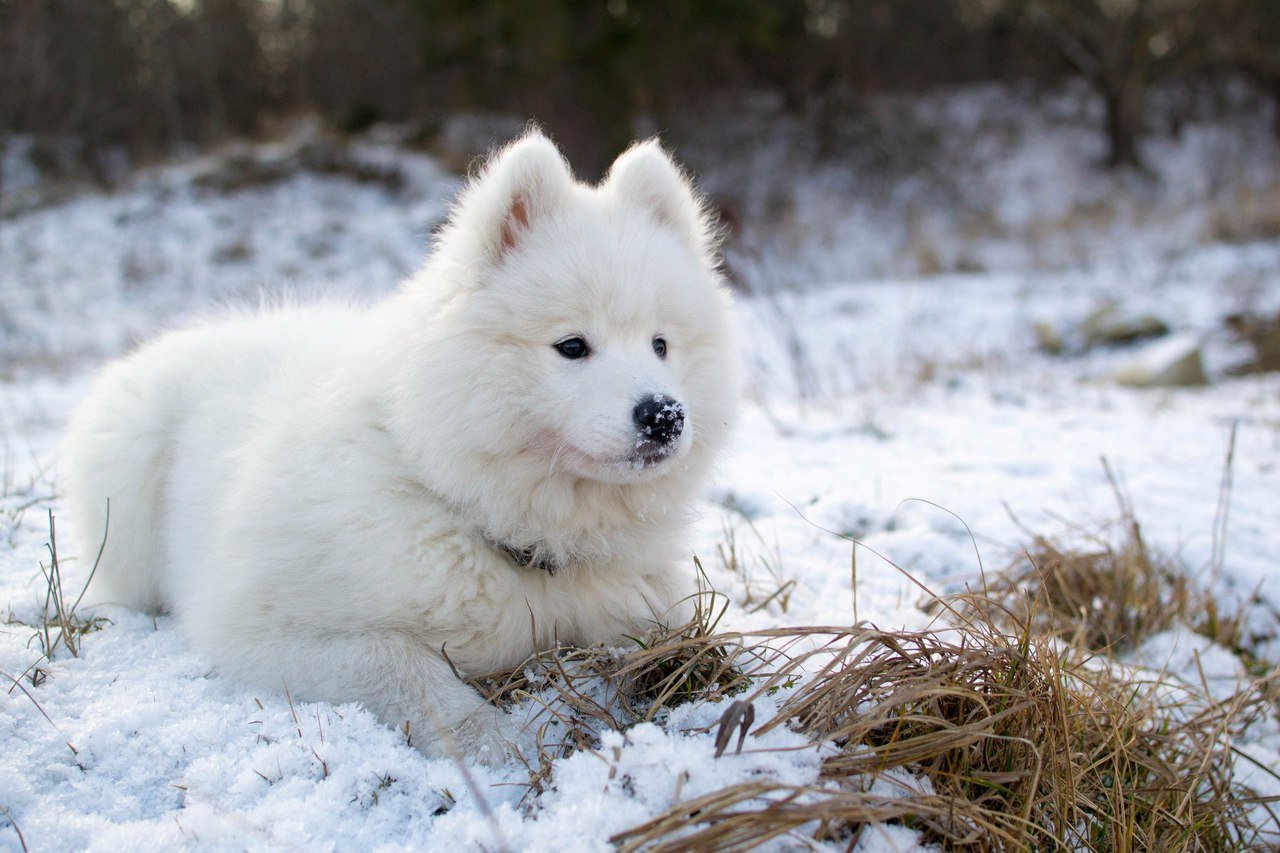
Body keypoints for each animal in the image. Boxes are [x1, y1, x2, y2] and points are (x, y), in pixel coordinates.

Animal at [62, 133, 742, 763]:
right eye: (572, 346)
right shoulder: (260, 628)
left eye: (661, 345)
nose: (664, 416)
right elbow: (403, 668)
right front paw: (496, 744)